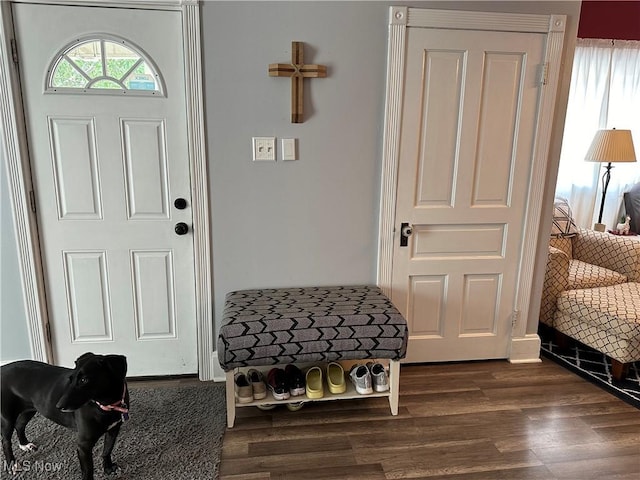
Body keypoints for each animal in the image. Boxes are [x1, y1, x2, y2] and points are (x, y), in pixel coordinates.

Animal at [0, 352, 129, 480]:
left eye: (84, 380)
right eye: (70, 379)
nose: (58, 406)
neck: (106, 404)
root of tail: (2, 368)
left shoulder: (114, 430)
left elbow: (107, 450)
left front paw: (108, 468)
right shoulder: (84, 445)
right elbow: (88, 471)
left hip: (29, 409)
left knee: (19, 425)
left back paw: (24, 444)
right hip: (7, 418)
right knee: (6, 441)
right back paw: (12, 464)